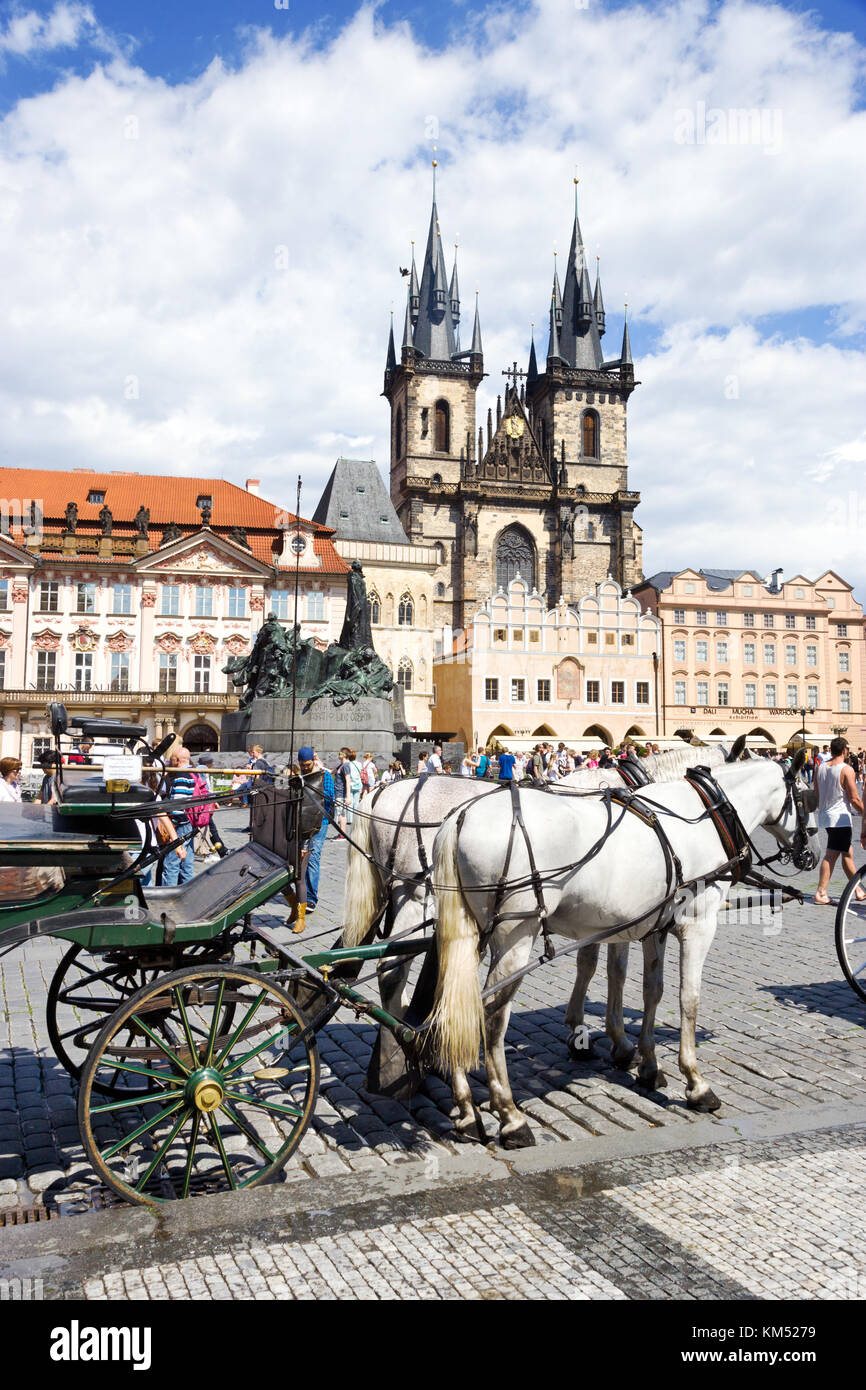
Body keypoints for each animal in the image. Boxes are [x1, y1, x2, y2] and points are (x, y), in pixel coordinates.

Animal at [428, 756, 817, 1145]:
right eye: (807, 798)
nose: (810, 855)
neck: (704, 815)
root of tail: (460, 817)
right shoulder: (698, 926)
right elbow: (688, 1000)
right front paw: (695, 1082)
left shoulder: (653, 927)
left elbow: (651, 991)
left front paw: (648, 1064)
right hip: (515, 939)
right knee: (491, 1017)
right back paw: (510, 1116)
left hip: (468, 938)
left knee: (453, 1007)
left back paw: (466, 1110)